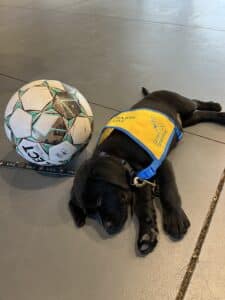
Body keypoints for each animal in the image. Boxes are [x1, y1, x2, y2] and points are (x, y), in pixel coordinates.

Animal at [69, 89, 224, 255]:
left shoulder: (160, 164)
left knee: (195, 102)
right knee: (199, 115)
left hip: (183, 104)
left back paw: (216, 107)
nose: (108, 230)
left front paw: (174, 217)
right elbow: (142, 206)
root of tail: (154, 92)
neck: (117, 155)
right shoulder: (140, 179)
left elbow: (168, 191)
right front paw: (147, 233)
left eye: (99, 201)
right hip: (186, 120)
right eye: (90, 214)